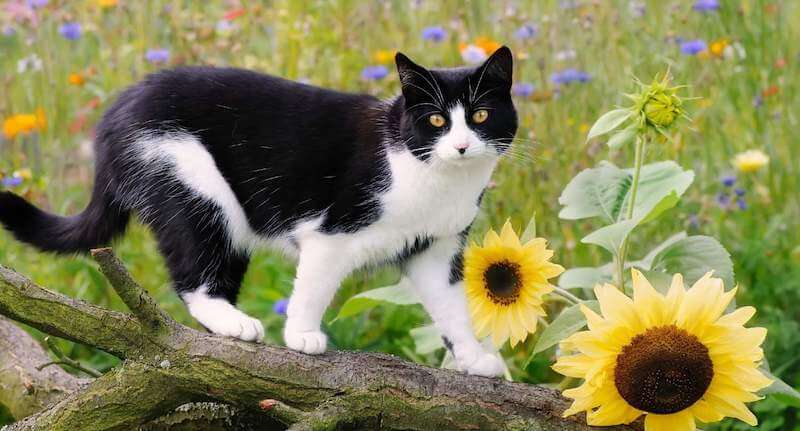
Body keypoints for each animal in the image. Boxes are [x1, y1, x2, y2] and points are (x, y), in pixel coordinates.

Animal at [0, 48, 520, 378]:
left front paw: (474, 358)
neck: (432, 178)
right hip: (192, 186)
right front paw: (302, 336)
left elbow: (452, 307)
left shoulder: (436, 249)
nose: (461, 146)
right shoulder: (331, 233)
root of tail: (112, 117)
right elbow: (313, 286)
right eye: (435, 119)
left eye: (480, 116)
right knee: (194, 275)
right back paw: (236, 323)